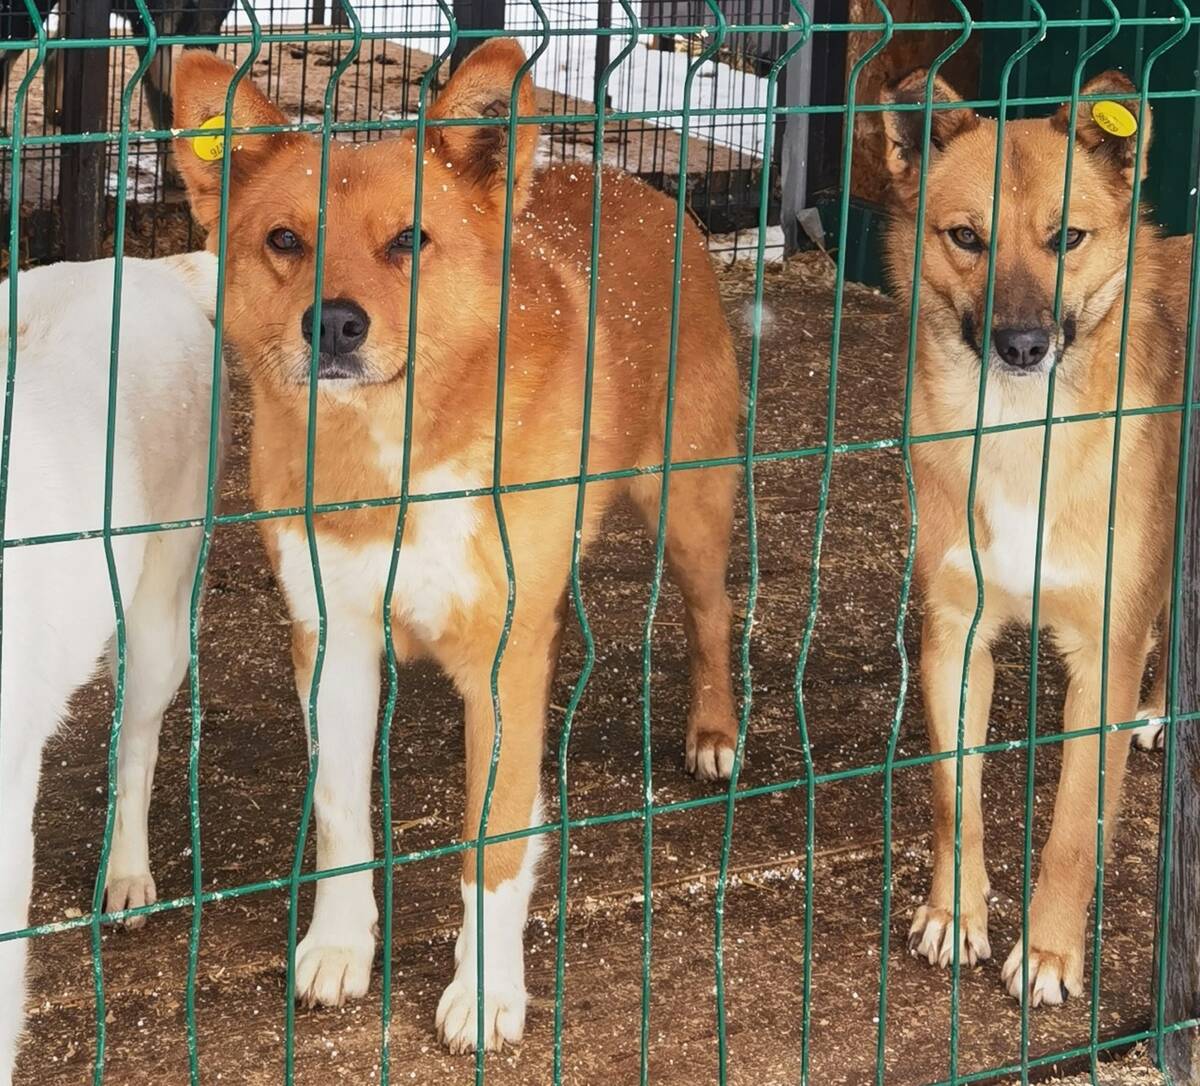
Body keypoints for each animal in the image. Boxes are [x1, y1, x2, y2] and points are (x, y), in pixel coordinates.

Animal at [174, 42, 739, 1051]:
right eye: (283, 239)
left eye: (410, 240)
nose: (334, 324)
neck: (393, 454)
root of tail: (630, 180)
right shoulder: (332, 645)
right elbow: (341, 816)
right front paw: (339, 945)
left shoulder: (507, 661)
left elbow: (497, 837)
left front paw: (484, 989)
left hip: (690, 506)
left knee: (712, 612)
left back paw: (712, 732)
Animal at [888, 69, 1185, 1008]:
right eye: (965, 237)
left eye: (1069, 238)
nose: (1021, 345)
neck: (1024, 433)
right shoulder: (955, 636)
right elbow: (955, 797)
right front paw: (954, 913)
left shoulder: (1102, 655)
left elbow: (1074, 834)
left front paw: (1051, 952)